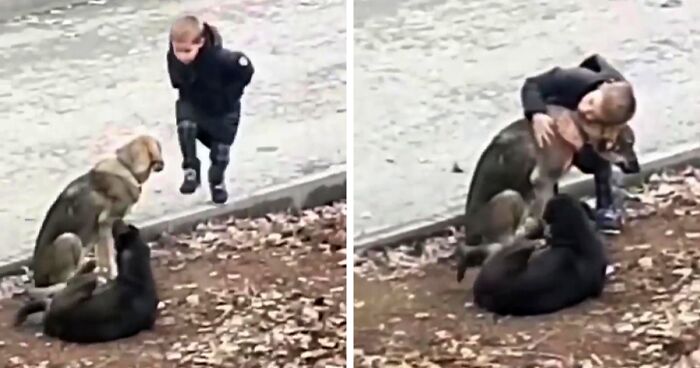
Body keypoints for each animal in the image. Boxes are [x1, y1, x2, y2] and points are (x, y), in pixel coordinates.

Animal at [14, 218, 159, 342]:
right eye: (130, 227)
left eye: (125, 228)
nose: (117, 219)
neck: (137, 278)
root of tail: (50, 314)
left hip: (83, 284)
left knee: (78, 278)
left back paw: (89, 266)